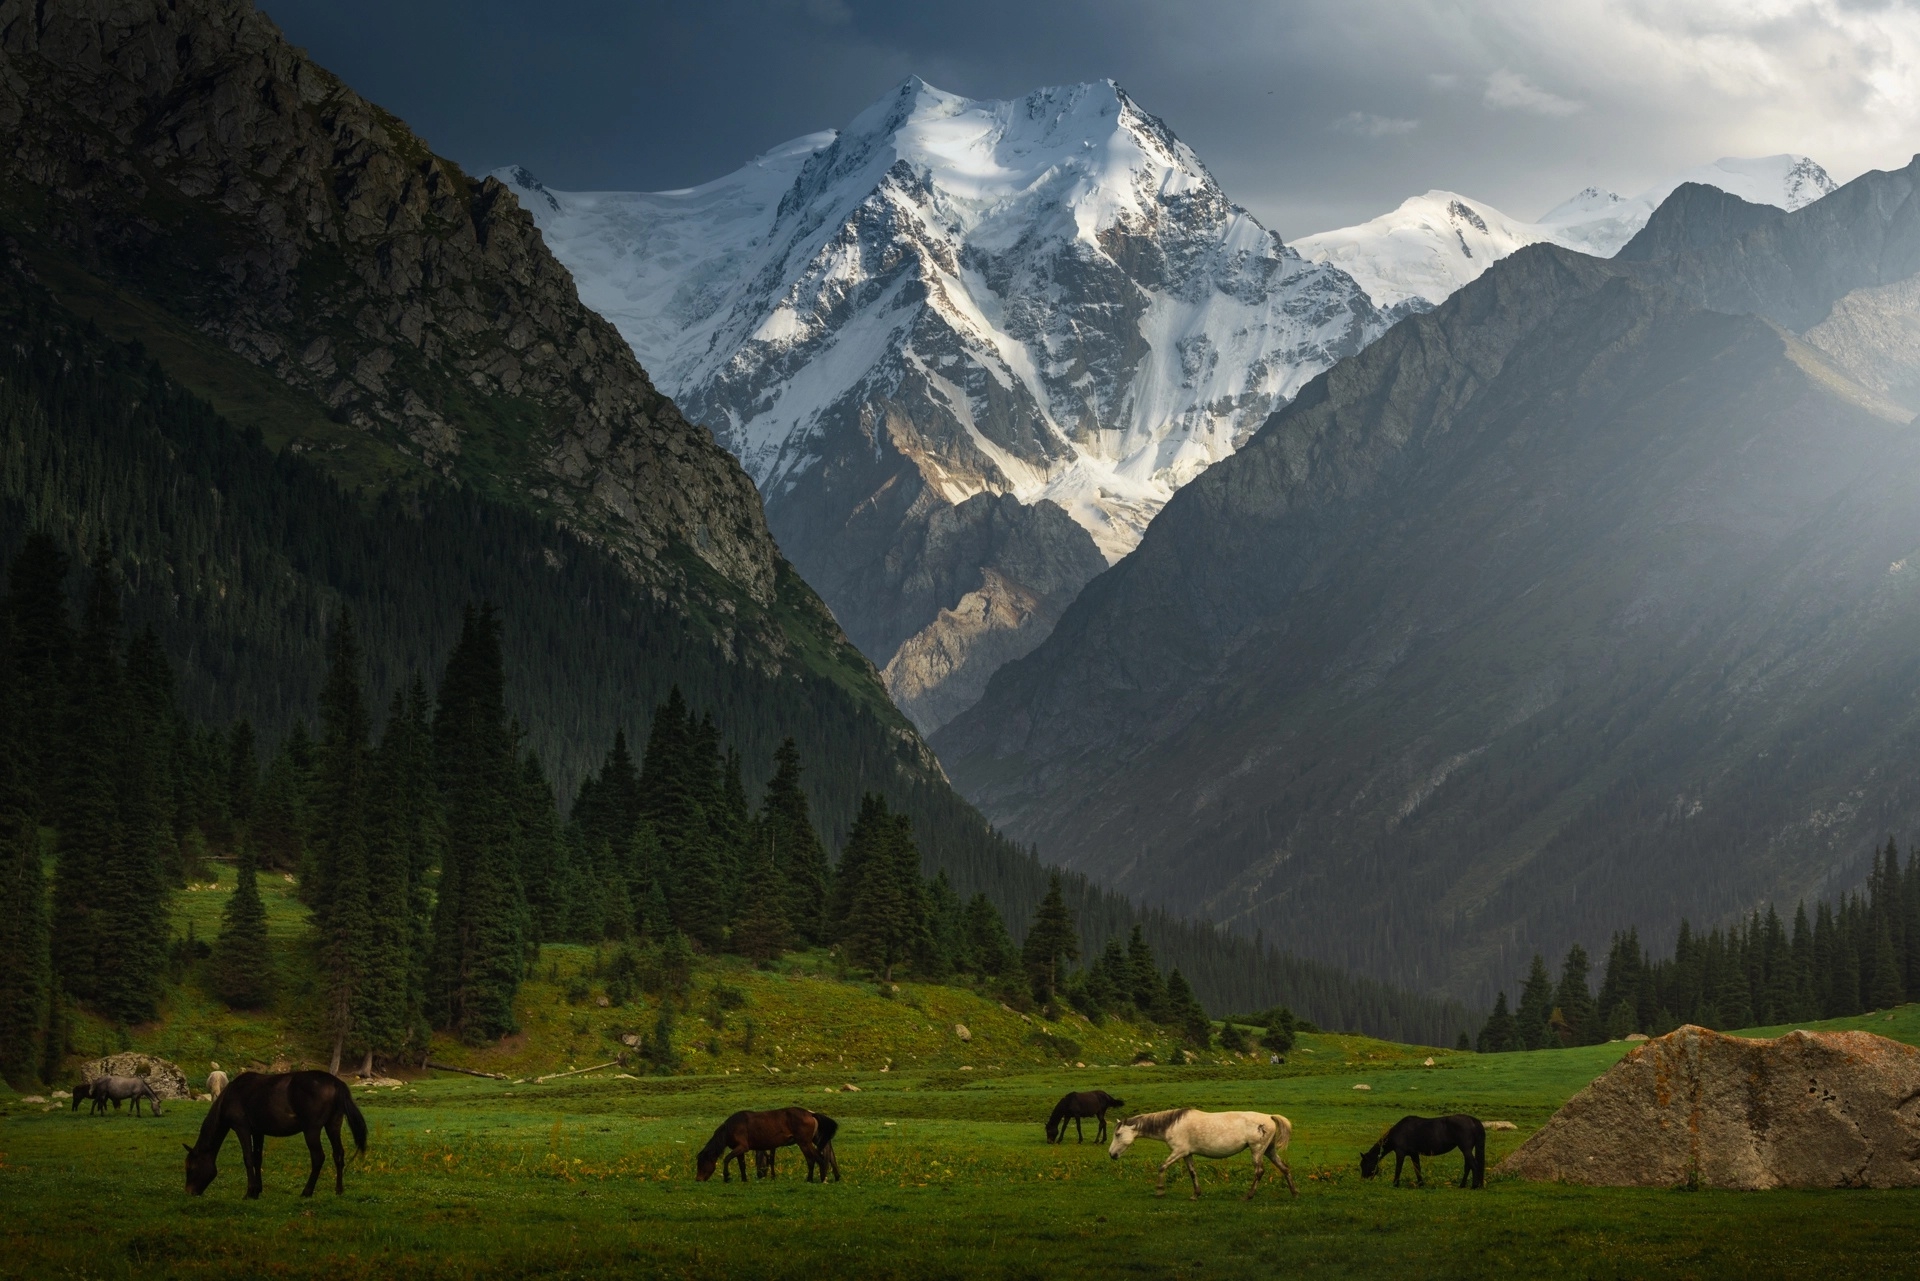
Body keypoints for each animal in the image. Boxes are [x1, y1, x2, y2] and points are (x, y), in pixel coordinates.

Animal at [185, 1067, 368, 1198]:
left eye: (191, 1168)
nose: (189, 1192)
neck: (229, 1096)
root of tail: (336, 1082)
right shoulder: (258, 1131)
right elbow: (257, 1158)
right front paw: (257, 1191)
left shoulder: (242, 1128)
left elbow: (248, 1158)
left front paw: (249, 1192)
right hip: (333, 1125)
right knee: (338, 1154)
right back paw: (339, 1190)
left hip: (312, 1129)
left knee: (318, 1157)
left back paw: (307, 1191)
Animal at [698, 1106, 833, 1190]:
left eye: (702, 1163)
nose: (698, 1179)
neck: (731, 1127)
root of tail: (811, 1114)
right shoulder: (739, 1150)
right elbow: (742, 1165)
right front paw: (744, 1179)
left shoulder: (742, 1147)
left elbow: (726, 1159)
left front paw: (726, 1176)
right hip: (804, 1144)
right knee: (812, 1160)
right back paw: (810, 1179)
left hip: (804, 1143)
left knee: (817, 1159)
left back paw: (821, 1179)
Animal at [1105, 1106, 1297, 1206]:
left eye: (1118, 1134)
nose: (1112, 1154)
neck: (1173, 1124)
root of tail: (1270, 1117)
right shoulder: (1187, 1154)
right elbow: (1192, 1173)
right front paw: (1195, 1194)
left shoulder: (1178, 1151)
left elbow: (1162, 1167)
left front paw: (1159, 1191)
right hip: (1269, 1150)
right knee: (1284, 1168)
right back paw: (1294, 1193)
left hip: (1257, 1150)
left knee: (1259, 1171)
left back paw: (1248, 1196)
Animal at [1351, 1113, 1482, 1190]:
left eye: (1364, 1164)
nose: (1363, 1179)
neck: (1398, 1132)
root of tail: (1471, 1120)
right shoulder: (1414, 1154)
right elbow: (1417, 1169)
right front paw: (1420, 1184)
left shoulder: (1400, 1153)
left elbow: (1398, 1168)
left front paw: (1395, 1184)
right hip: (1466, 1150)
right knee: (1468, 1166)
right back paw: (1462, 1185)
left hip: (1465, 1149)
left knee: (1474, 1165)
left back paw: (1474, 1186)